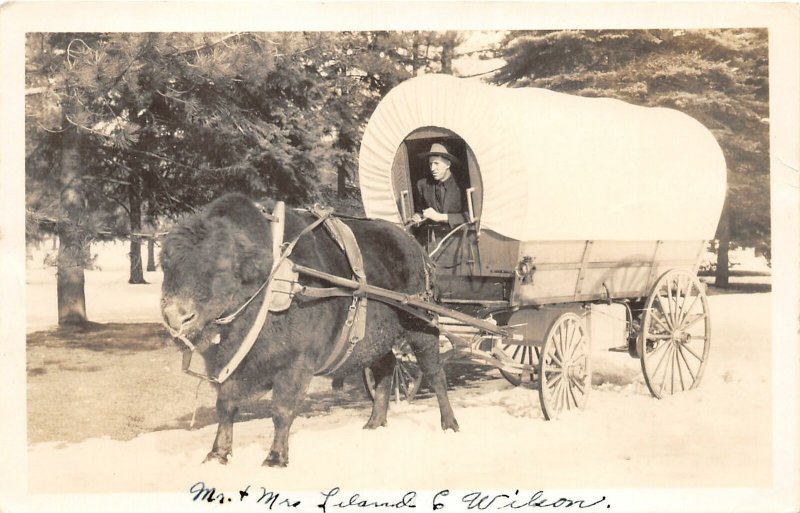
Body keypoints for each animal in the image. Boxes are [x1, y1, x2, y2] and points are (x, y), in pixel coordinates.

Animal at [160, 191, 460, 464]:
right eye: (166, 264)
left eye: (222, 266)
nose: (176, 317)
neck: (269, 280)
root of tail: (417, 249)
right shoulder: (229, 369)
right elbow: (225, 407)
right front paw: (217, 454)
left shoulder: (295, 365)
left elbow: (281, 410)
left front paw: (275, 458)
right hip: (379, 339)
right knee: (385, 370)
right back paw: (374, 423)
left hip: (421, 327)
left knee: (435, 373)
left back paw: (450, 425)